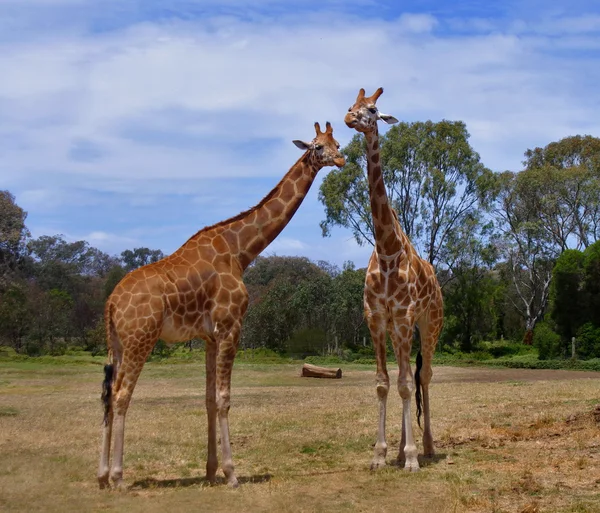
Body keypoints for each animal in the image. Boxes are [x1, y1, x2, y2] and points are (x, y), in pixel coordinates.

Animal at [96, 120, 344, 488]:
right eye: (316, 146)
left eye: (337, 143)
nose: (340, 159)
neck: (240, 251)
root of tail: (111, 302)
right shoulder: (231, 327)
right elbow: (225, 399)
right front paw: (231, 473)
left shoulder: (209, 336)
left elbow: (210, 399)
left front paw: (211, 470)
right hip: (140, 339)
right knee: (121, 394)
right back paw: (118, 477)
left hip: (116, 343)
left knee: (108, 393)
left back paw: (101, 475)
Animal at [344, 88, 442, 472]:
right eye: (351, 105)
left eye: (372, 109)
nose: (350, 119)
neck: (386, 252)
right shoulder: (376, 319)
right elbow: (384, 384)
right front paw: (381, 453)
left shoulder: (402, 317)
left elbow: (404, 384)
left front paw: (412, 457)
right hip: (405, 327)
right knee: (407, 374)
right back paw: (401, 449)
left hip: (429, 323)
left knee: (423, 377)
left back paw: (425, 447)